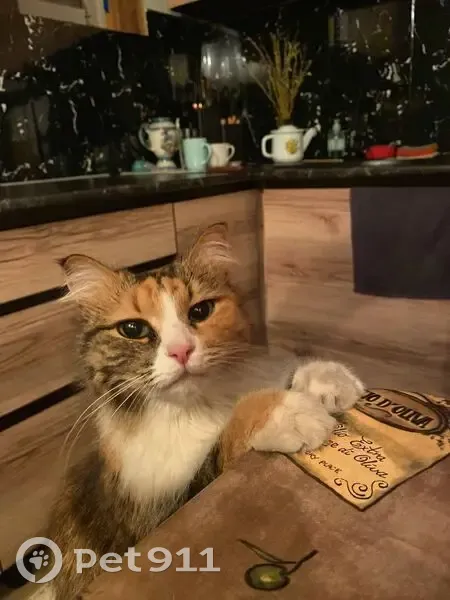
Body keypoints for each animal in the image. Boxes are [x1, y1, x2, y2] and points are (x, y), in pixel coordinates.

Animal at [37, 222, 363, 600]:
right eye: (133, 329)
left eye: (200, 312)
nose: (181, 351)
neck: (198, 408)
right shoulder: (154, 523)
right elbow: (224, 442)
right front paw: (287, 412)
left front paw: (329, 379)